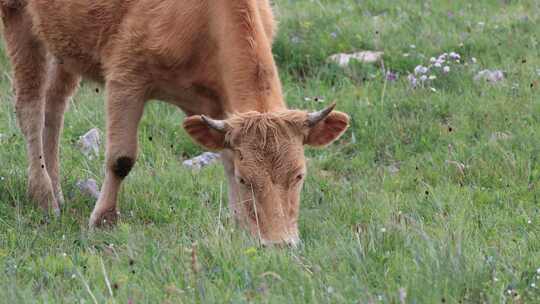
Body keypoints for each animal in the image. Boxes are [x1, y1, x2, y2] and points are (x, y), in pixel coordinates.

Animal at [1, 0, 350, 246]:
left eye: (300, 175)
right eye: (245, 179)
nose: (280, 244)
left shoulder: (218, 107)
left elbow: (225, 158)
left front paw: (241, 226)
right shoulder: (126, 77)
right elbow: (120, 159)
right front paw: (103, 220)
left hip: (62, 40)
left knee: (54, 105)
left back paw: (56, 190)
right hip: (17, 17)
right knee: (30, 106)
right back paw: (44, 197)